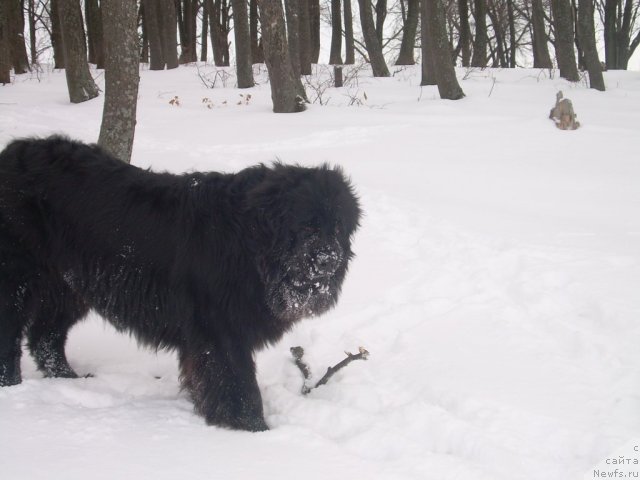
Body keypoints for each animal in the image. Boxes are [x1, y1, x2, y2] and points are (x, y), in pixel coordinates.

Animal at [0, 135, 360, 432]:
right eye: (308, 227)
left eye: (337, 226)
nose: (329, 259)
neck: (250, 244)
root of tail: (12, 151)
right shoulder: (220, 331)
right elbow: (239, 384)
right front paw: (253, 430)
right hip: (18, 276)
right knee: (13, 333)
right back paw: (13, 386)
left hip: (69, 284)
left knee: (45, 335)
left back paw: (67, 378)